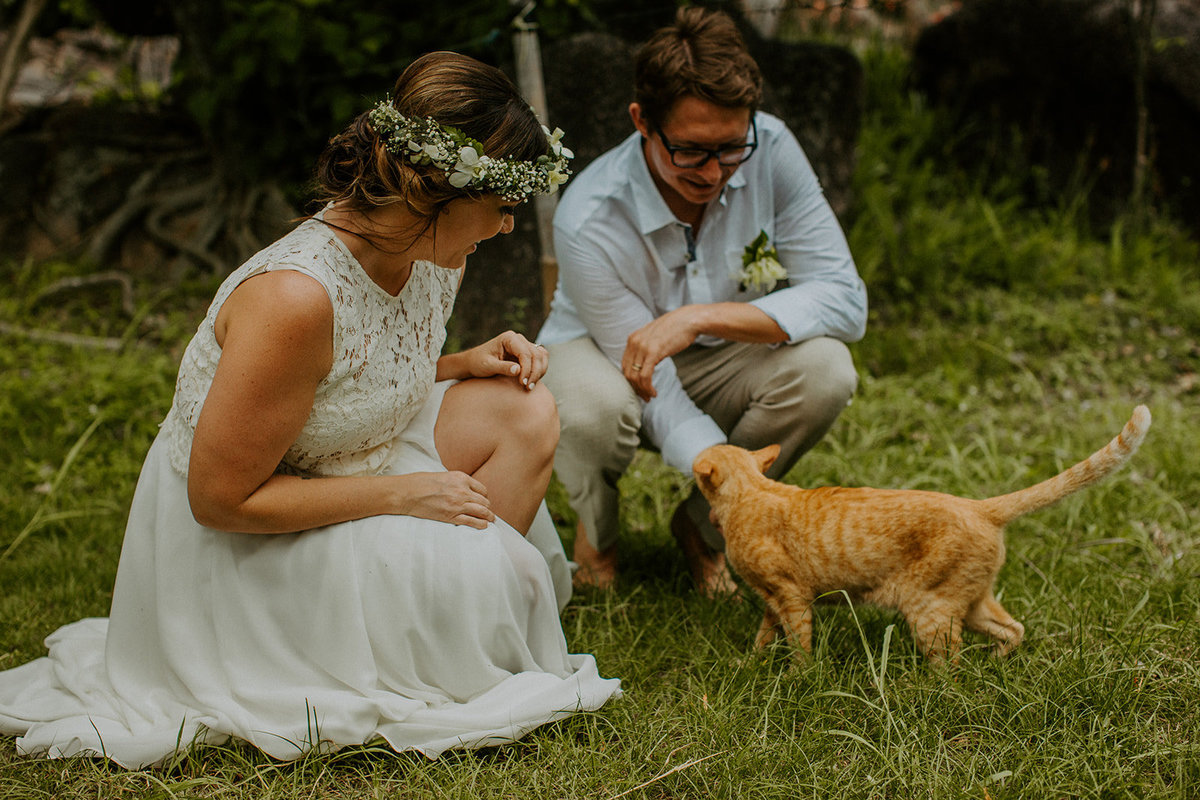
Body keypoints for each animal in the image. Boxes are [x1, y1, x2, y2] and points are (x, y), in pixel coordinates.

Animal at [696, 407, 1152, 662]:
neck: (752, 491)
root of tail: (978, 506)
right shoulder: (772, 599)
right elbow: (765, 634)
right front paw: (753, 665)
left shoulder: (791, 596)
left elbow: (800, 648)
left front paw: (796, 680)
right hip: (971, 604)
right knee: (1014, 629)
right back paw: (996, 660)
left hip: (928, 609)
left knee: (951, 667)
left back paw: (923, 692)